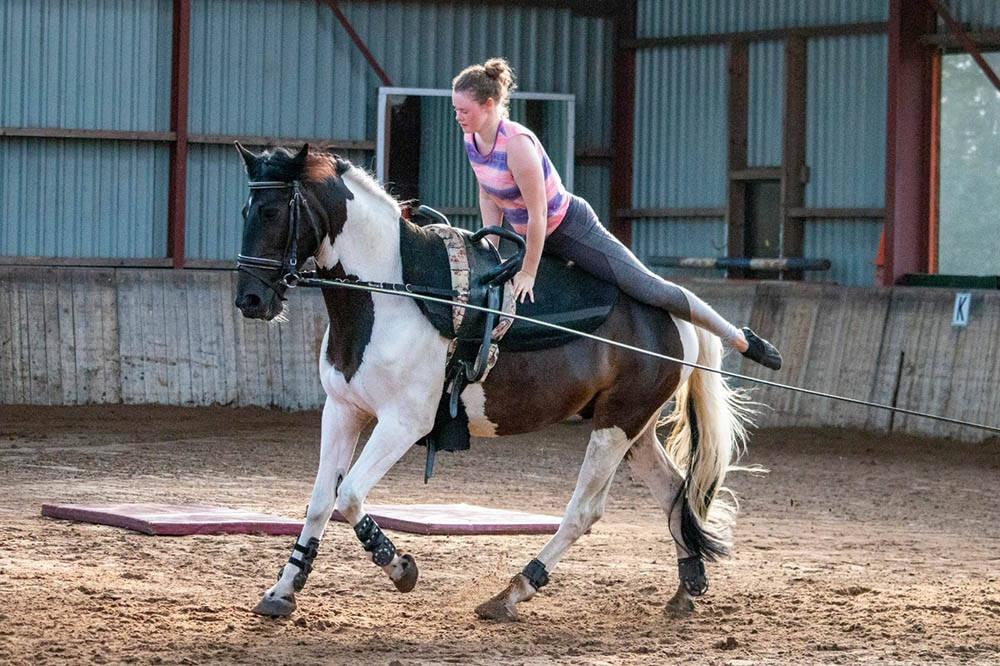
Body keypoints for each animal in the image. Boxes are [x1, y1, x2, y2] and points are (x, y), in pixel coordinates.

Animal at [232, 143, 752, 620]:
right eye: (245, 209)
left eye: (273, 210)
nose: (250, 300)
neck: (394, 294)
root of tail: (675, 311)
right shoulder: (343, 410)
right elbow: (320, 501)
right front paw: (283, 590)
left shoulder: (404, 424)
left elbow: (350, 495)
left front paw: (399, 567)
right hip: (633, 428)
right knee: (674, 492)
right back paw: (686, 587)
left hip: (618, 424)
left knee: (584, 511)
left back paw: (514, 591)